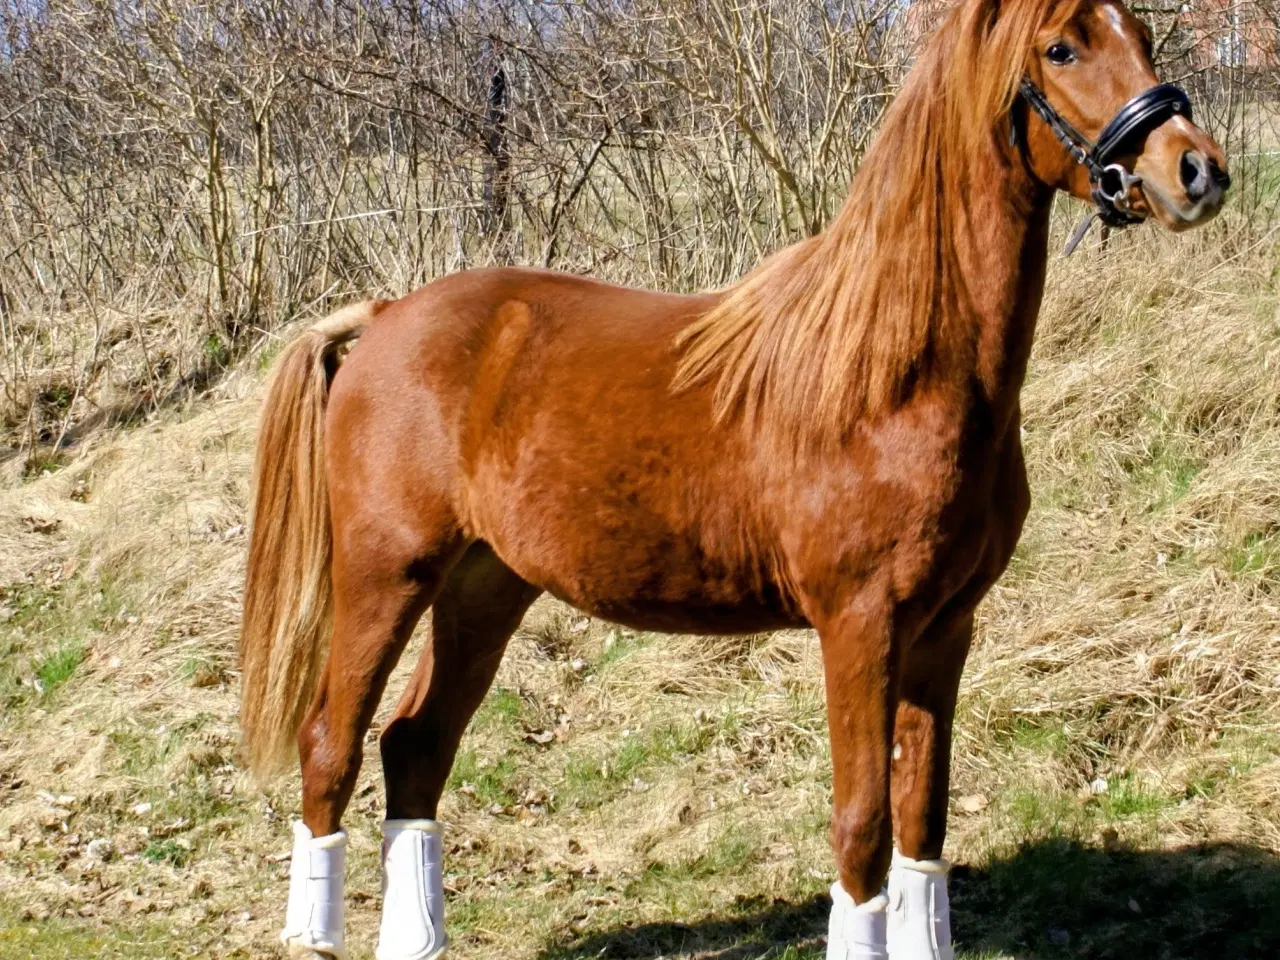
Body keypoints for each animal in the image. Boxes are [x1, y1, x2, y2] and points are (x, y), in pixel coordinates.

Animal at [238, 0, 1228, 957]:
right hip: (386, 574)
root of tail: (385, 316)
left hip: (486, 585)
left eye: (1141, 32)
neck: (893, 374)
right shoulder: (860, 626)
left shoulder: (947, 629)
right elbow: (863, 826)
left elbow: (923, 821)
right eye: (1061, 48)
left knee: (416, 746)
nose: (1197, 170)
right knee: (331, 743)